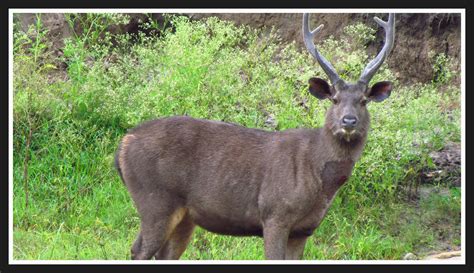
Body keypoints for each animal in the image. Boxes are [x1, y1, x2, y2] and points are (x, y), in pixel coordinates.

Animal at [115, 13, 396, 260]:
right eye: (334, 100)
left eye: (363, 101)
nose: (348, 121)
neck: (318, 179)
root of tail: (123, 145)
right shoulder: (275, 213)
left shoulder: (304, 229)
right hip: (154, 199)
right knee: (138, 250)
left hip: (183, 214)